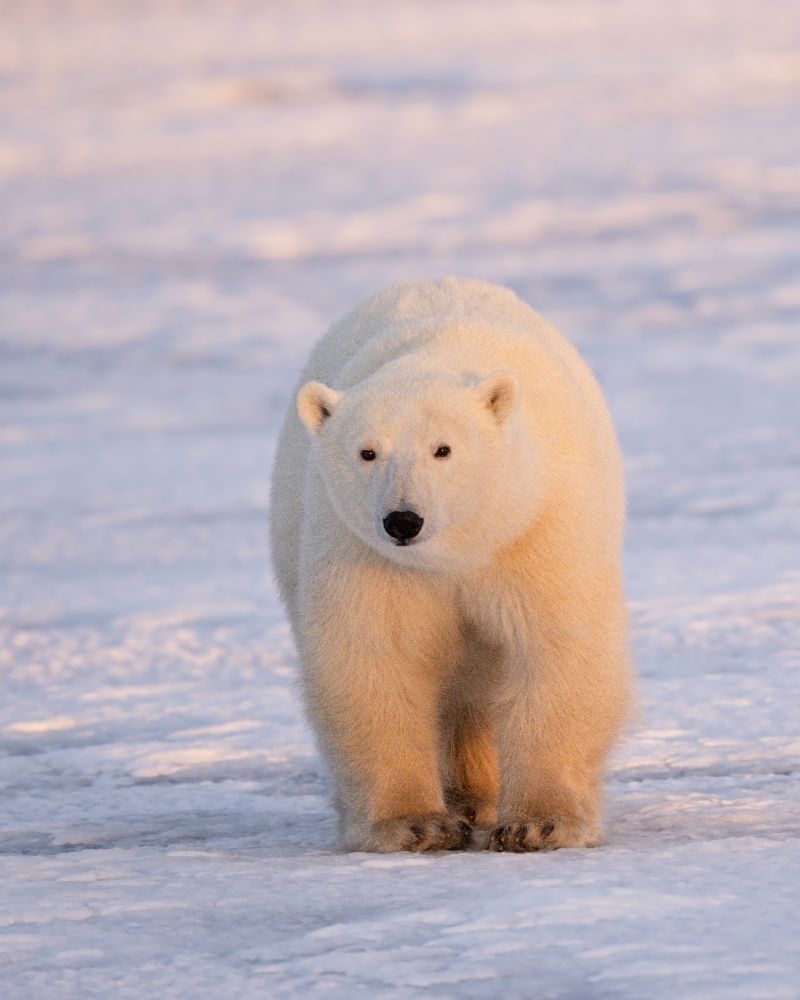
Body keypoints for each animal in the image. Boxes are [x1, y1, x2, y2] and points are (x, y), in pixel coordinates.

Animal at [270, 276, 632, 852]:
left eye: (443, 449)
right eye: (367, 452)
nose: (403, 520)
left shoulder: (535, 529)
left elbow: (555, 649)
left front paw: (540, 822)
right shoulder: (364, 554)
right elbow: (376, 659)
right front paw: (415, 824)